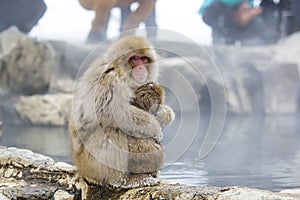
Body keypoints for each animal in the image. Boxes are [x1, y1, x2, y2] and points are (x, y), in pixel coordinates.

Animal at [69, 35, 175, 188]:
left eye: (144, 59)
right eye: (134, 59)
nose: (141, 67)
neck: (119, 69)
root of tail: (81, 169)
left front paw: (163, 114)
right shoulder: (110, 80)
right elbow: (111, 111)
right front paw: (155, 129)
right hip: (92, 164)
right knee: (112, 130)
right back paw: (122, 180)